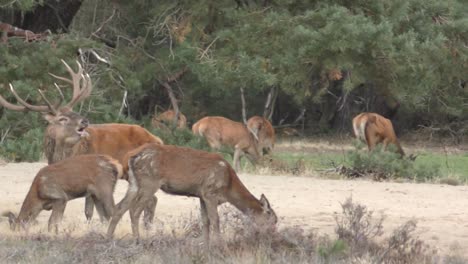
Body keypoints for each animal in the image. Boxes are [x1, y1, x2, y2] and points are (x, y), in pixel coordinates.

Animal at [0, 59, 163, 225]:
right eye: (62, 118)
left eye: (74, 111)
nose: (84, 121)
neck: (64, 155)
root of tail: (158, 140)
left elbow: (89, 211)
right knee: (152, 199)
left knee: (152, 199)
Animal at [107, 143, 274, 244]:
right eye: (272, 219)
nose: (272, 236)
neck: (228, 187)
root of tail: (132, 156)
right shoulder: (210, 192)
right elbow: (215, 220)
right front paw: (218, 244)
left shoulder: (201, 195)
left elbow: (205, 221)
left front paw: (206, 244)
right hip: (149, 181)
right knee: (134, 211)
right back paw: (138, 240)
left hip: (134, 183)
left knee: (120, 208)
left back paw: (109, 237)